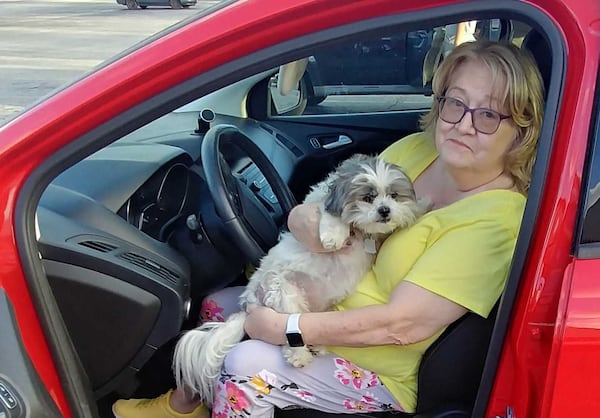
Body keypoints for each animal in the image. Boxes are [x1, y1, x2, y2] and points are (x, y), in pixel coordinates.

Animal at [171, 155, 428, 404]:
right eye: (368, 197)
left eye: (393, 195)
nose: (385, 210)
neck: (363, 232)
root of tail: (248, 304)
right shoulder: (318, 204)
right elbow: (331, 214)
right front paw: (335, 235)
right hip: (284, 294)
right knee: (290, 334)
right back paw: (300, 355)